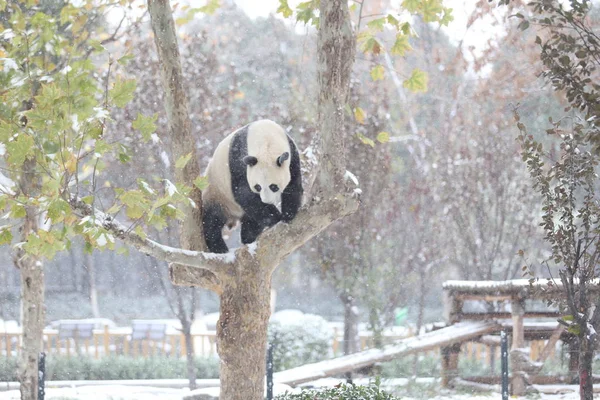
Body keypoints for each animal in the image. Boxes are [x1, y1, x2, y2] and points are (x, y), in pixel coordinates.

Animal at [203, 119, 304, 255]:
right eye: (258, 187)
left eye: (274, 186)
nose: (266, 201)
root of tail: (233, 217)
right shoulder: (238, 157)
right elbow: (243, 192)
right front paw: (276, 217)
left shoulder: (292, 152)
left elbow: (293, 183)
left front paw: (288, 214)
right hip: (216, 193)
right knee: (212, 220)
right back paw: (219, 248)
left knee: (251, 220)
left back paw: (248, 237)